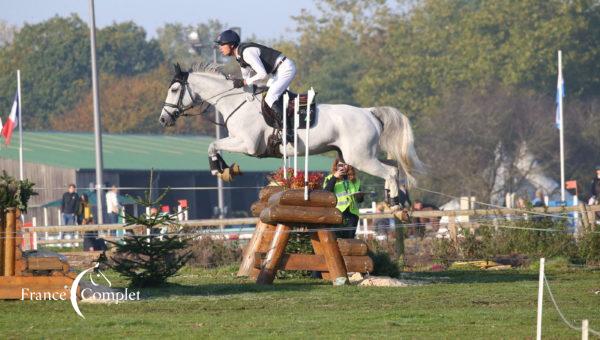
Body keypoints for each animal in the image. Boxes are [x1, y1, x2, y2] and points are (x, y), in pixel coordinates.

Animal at [159, 63, 422, 205]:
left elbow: (213, 144)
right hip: (359, 155)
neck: (236, 102)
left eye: (174, 89)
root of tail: (369, 112)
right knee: (395, 167)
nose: (163, 119)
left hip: (360, 158)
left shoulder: (248, 145)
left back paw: (394, 204)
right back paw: (396, 199)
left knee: (390, 171)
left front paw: (218, 169)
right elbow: (214, 145)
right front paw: (225, 169)